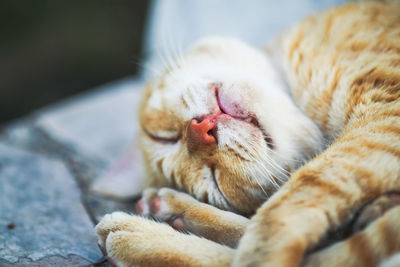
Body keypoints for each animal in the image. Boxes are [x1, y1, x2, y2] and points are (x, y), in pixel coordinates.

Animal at [96, 2, 400, 267]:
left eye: (163, 137)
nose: (200, 130)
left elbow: (272, 224)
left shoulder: (380, 121)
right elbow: (274, 219)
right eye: (214, 181)